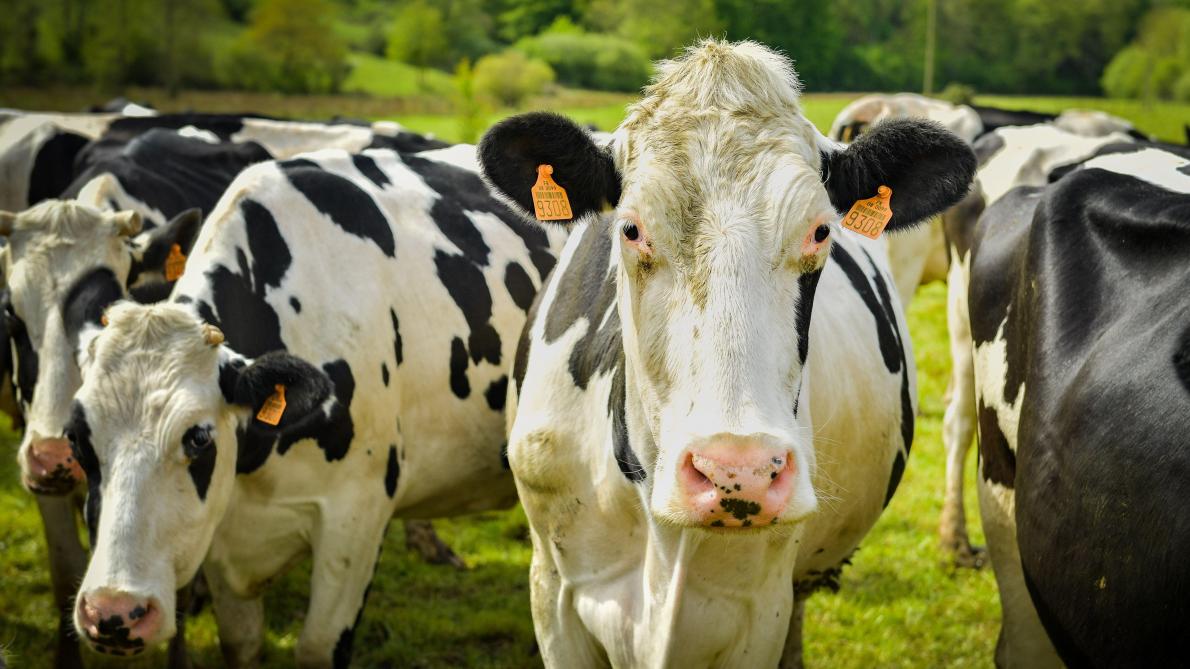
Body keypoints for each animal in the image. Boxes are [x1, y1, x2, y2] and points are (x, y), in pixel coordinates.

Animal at [60, 144, 564, 665]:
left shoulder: (356, 516)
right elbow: (241, 643)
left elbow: (318, 647)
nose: (114, 612)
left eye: (198, 437)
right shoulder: (224, 535)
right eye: (75, 438)